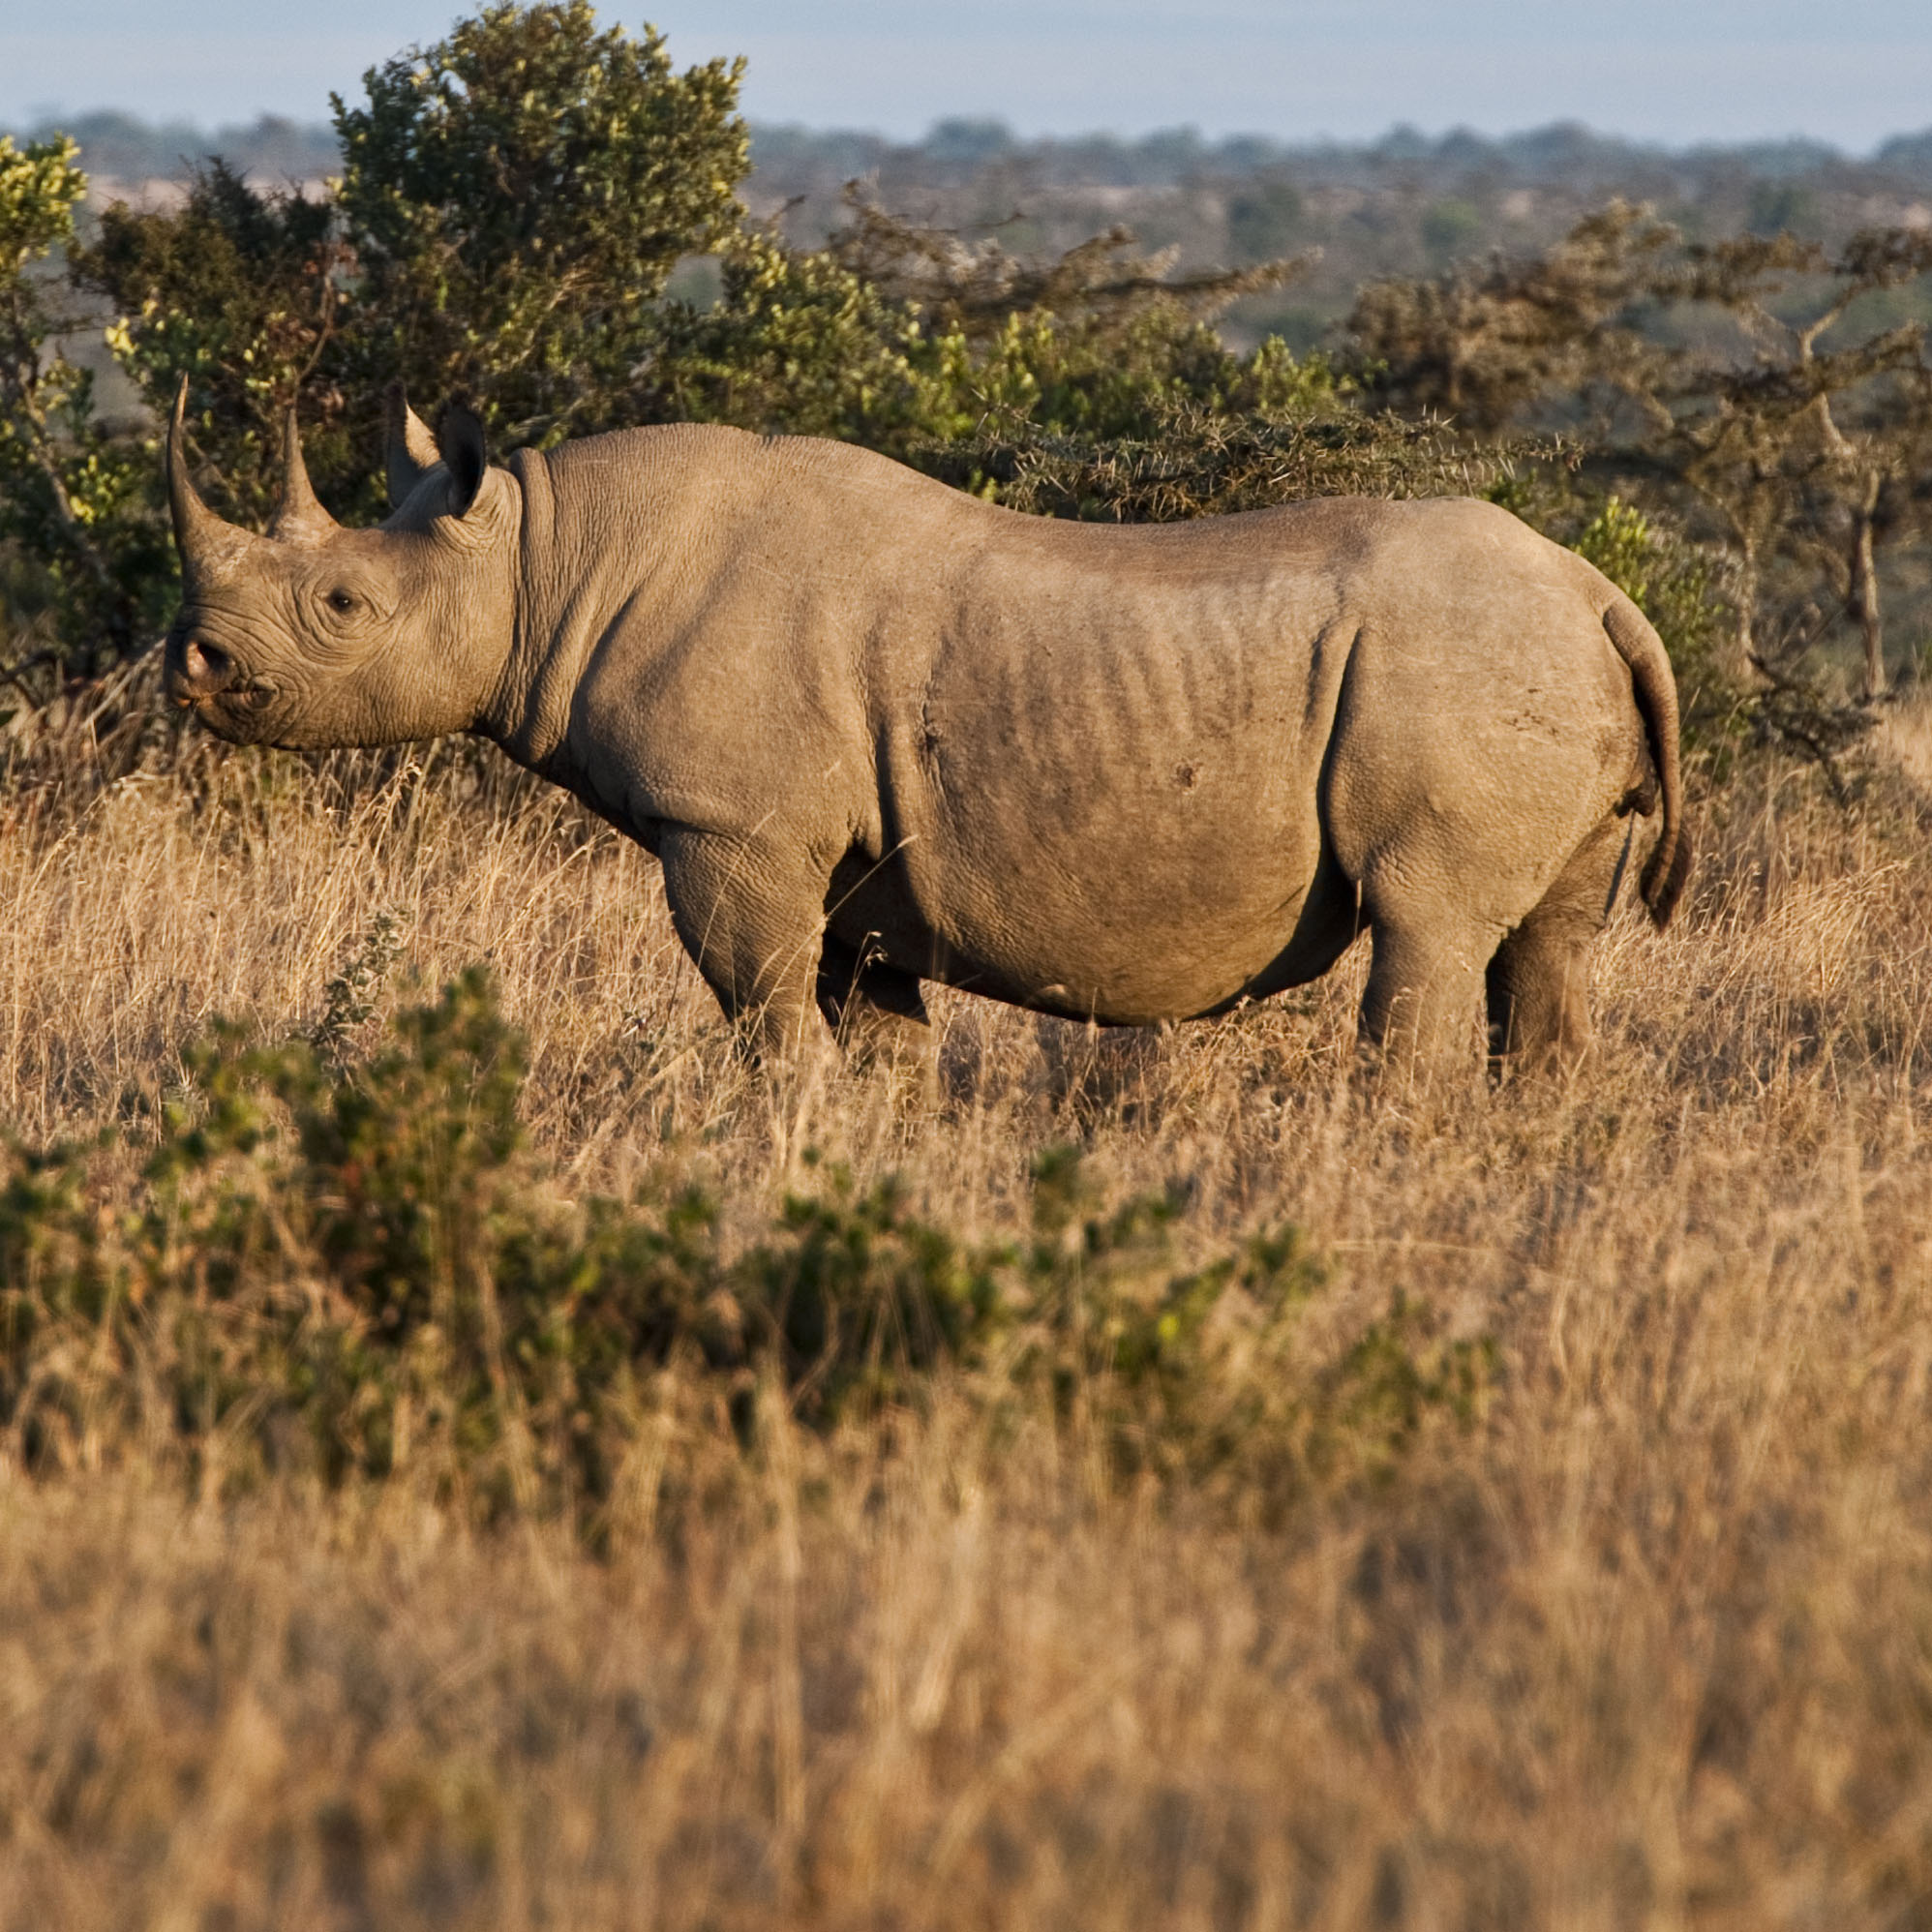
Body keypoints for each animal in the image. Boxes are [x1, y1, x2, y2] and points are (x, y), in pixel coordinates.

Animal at [161, 384, 1685, 1078]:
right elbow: (869, 1024)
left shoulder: (731, 825)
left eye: (343, 604)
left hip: (1460, 673)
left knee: (1428, 919)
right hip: (1536, 668)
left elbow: (765, 1008)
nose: (197, 665)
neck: (541, 557)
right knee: (1544, 941)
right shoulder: (849, 860)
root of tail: (1603, 594)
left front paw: (782, 1131)